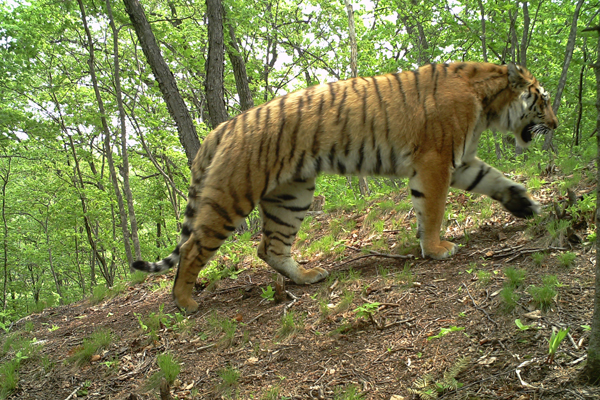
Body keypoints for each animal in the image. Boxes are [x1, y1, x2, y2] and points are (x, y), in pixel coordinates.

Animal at [131, 61, 556, 312]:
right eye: (543, 100)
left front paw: (526, 205)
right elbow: (433, 209)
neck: (487, 103)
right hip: (232, 196)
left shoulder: (460, 160)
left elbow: (495, 179)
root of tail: (223, 127)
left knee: (270, 247)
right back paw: (185, 302)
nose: (554, 124)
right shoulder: (435, 160)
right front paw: (437, 249)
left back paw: (306, 277)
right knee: (192, 247)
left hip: (292, 195)